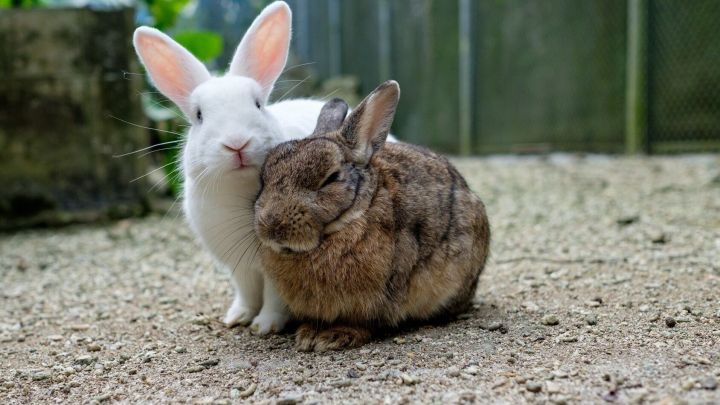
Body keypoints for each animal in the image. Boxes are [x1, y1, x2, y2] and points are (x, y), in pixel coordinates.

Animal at [133, 1, 327, 335]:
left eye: (259, 104)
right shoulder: (239, 266)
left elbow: (275, 297)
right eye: (198, 115)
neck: (240, 189)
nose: (237, 143)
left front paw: (265, 326)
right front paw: (237, 317)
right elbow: (246, 291)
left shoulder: (278, 263)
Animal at [253, 81, 491, 351]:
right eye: (264, 178)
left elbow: (366, 322)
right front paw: (308, 334)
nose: (271, 225)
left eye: (331, 178)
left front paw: (333, 336)